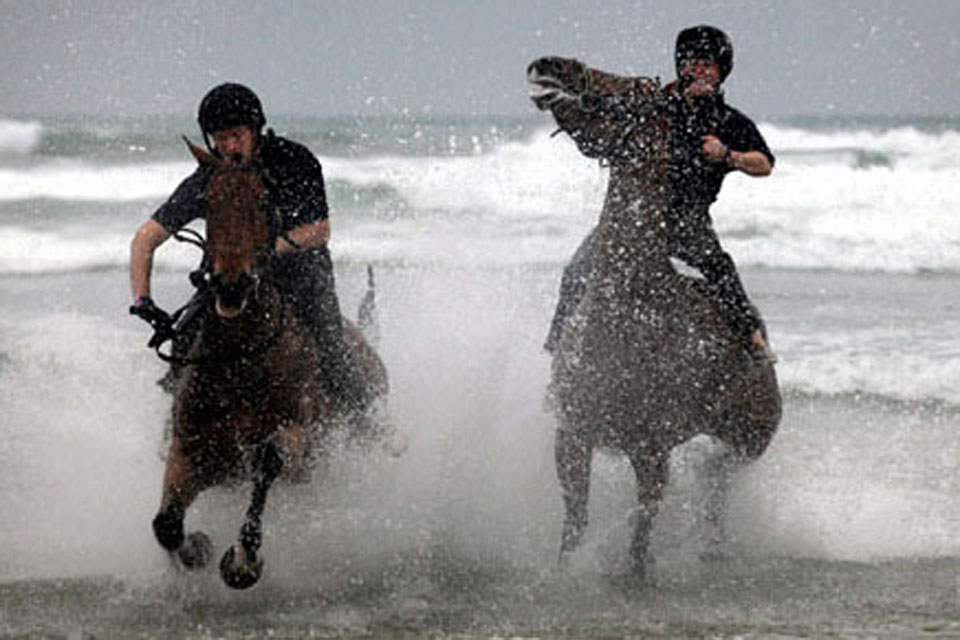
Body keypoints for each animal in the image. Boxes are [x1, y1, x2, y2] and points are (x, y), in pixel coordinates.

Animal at [151, 141, 390, 592]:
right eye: (207, 202)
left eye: (264, 201)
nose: (231, 285)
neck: (240, 360)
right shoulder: (188, 449)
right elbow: (167, 523)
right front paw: (196, 549)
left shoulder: (298, 442)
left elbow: (268, 459)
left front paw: (242, 561)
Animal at [528, 56, 784, 576]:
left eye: (630, 90)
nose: (550, 66)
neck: (627, 313)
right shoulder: (572, 437)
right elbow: (575, 521)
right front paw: (566, 567)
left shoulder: (651, 452)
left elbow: (642, 530)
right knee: (714, 481)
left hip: (750, 438)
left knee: (718, 477)